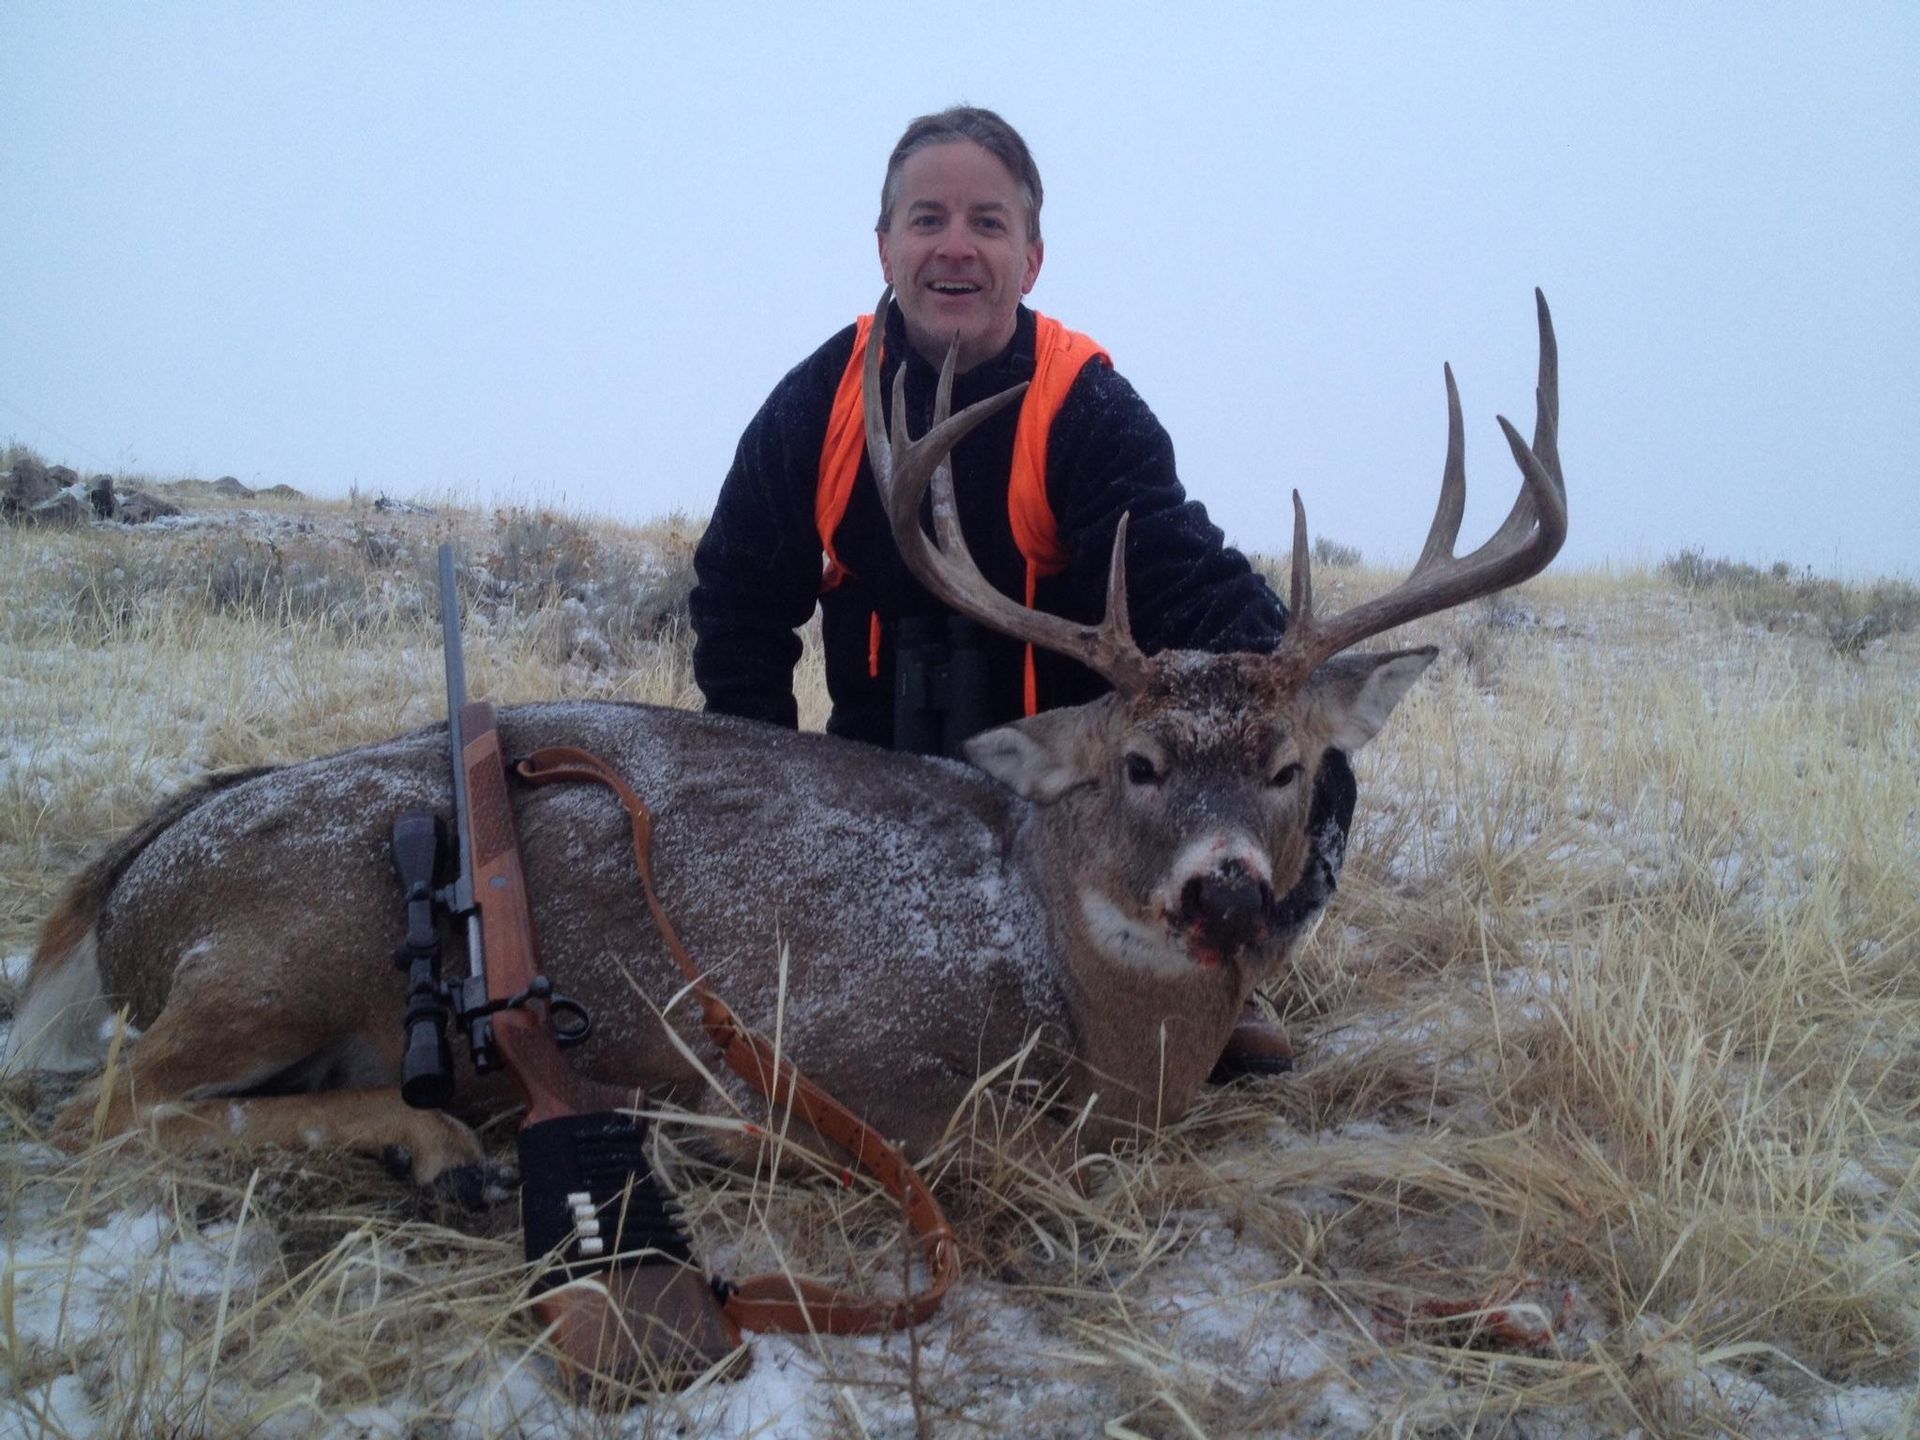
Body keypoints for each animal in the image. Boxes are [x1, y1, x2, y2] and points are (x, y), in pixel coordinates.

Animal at [5, 292, 1564, 1195]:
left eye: (1293, 768)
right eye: (1139, 765)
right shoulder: (842, 1043)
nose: (1229, 888)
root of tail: (128, 877)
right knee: (98, 1112)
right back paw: (436, 1139)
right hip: (284, 945)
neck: (1086, 1005)